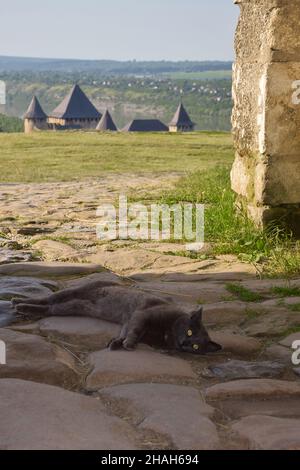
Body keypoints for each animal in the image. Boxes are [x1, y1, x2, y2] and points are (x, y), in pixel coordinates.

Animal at [12, 280, 221, 352]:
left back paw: (20, 305)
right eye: (189, 332)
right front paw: (129, 344)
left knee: (51, 307)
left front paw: (117, 342)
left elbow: (125, 332)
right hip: (75, 292)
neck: (167, 332)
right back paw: (19, 303)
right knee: (48, 299)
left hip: (77, 306)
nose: (185, 343)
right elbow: (134, 331)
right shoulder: (141, 315)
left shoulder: (129, 321)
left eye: (196, 346)